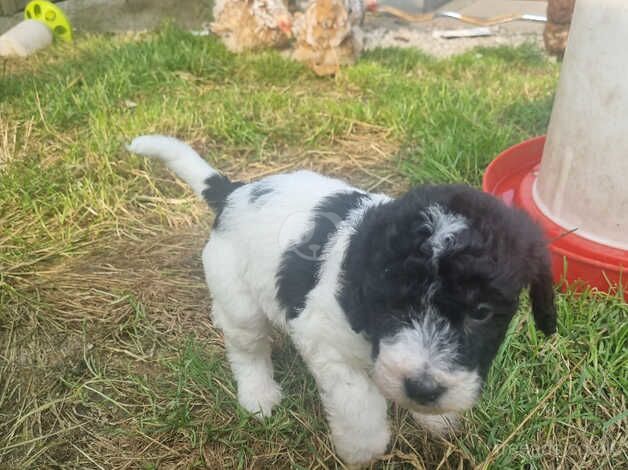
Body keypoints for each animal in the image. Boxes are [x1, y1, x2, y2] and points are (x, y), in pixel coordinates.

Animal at [126, 134, 556, 464]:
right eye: (393, 304)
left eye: (481, 312)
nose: (423, 389)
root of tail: (233, 193)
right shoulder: (326, 343)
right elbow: (358, 405)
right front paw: (362, 450)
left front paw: (436, 418)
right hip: (237, 299)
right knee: (247, 349)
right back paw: (258, 395)